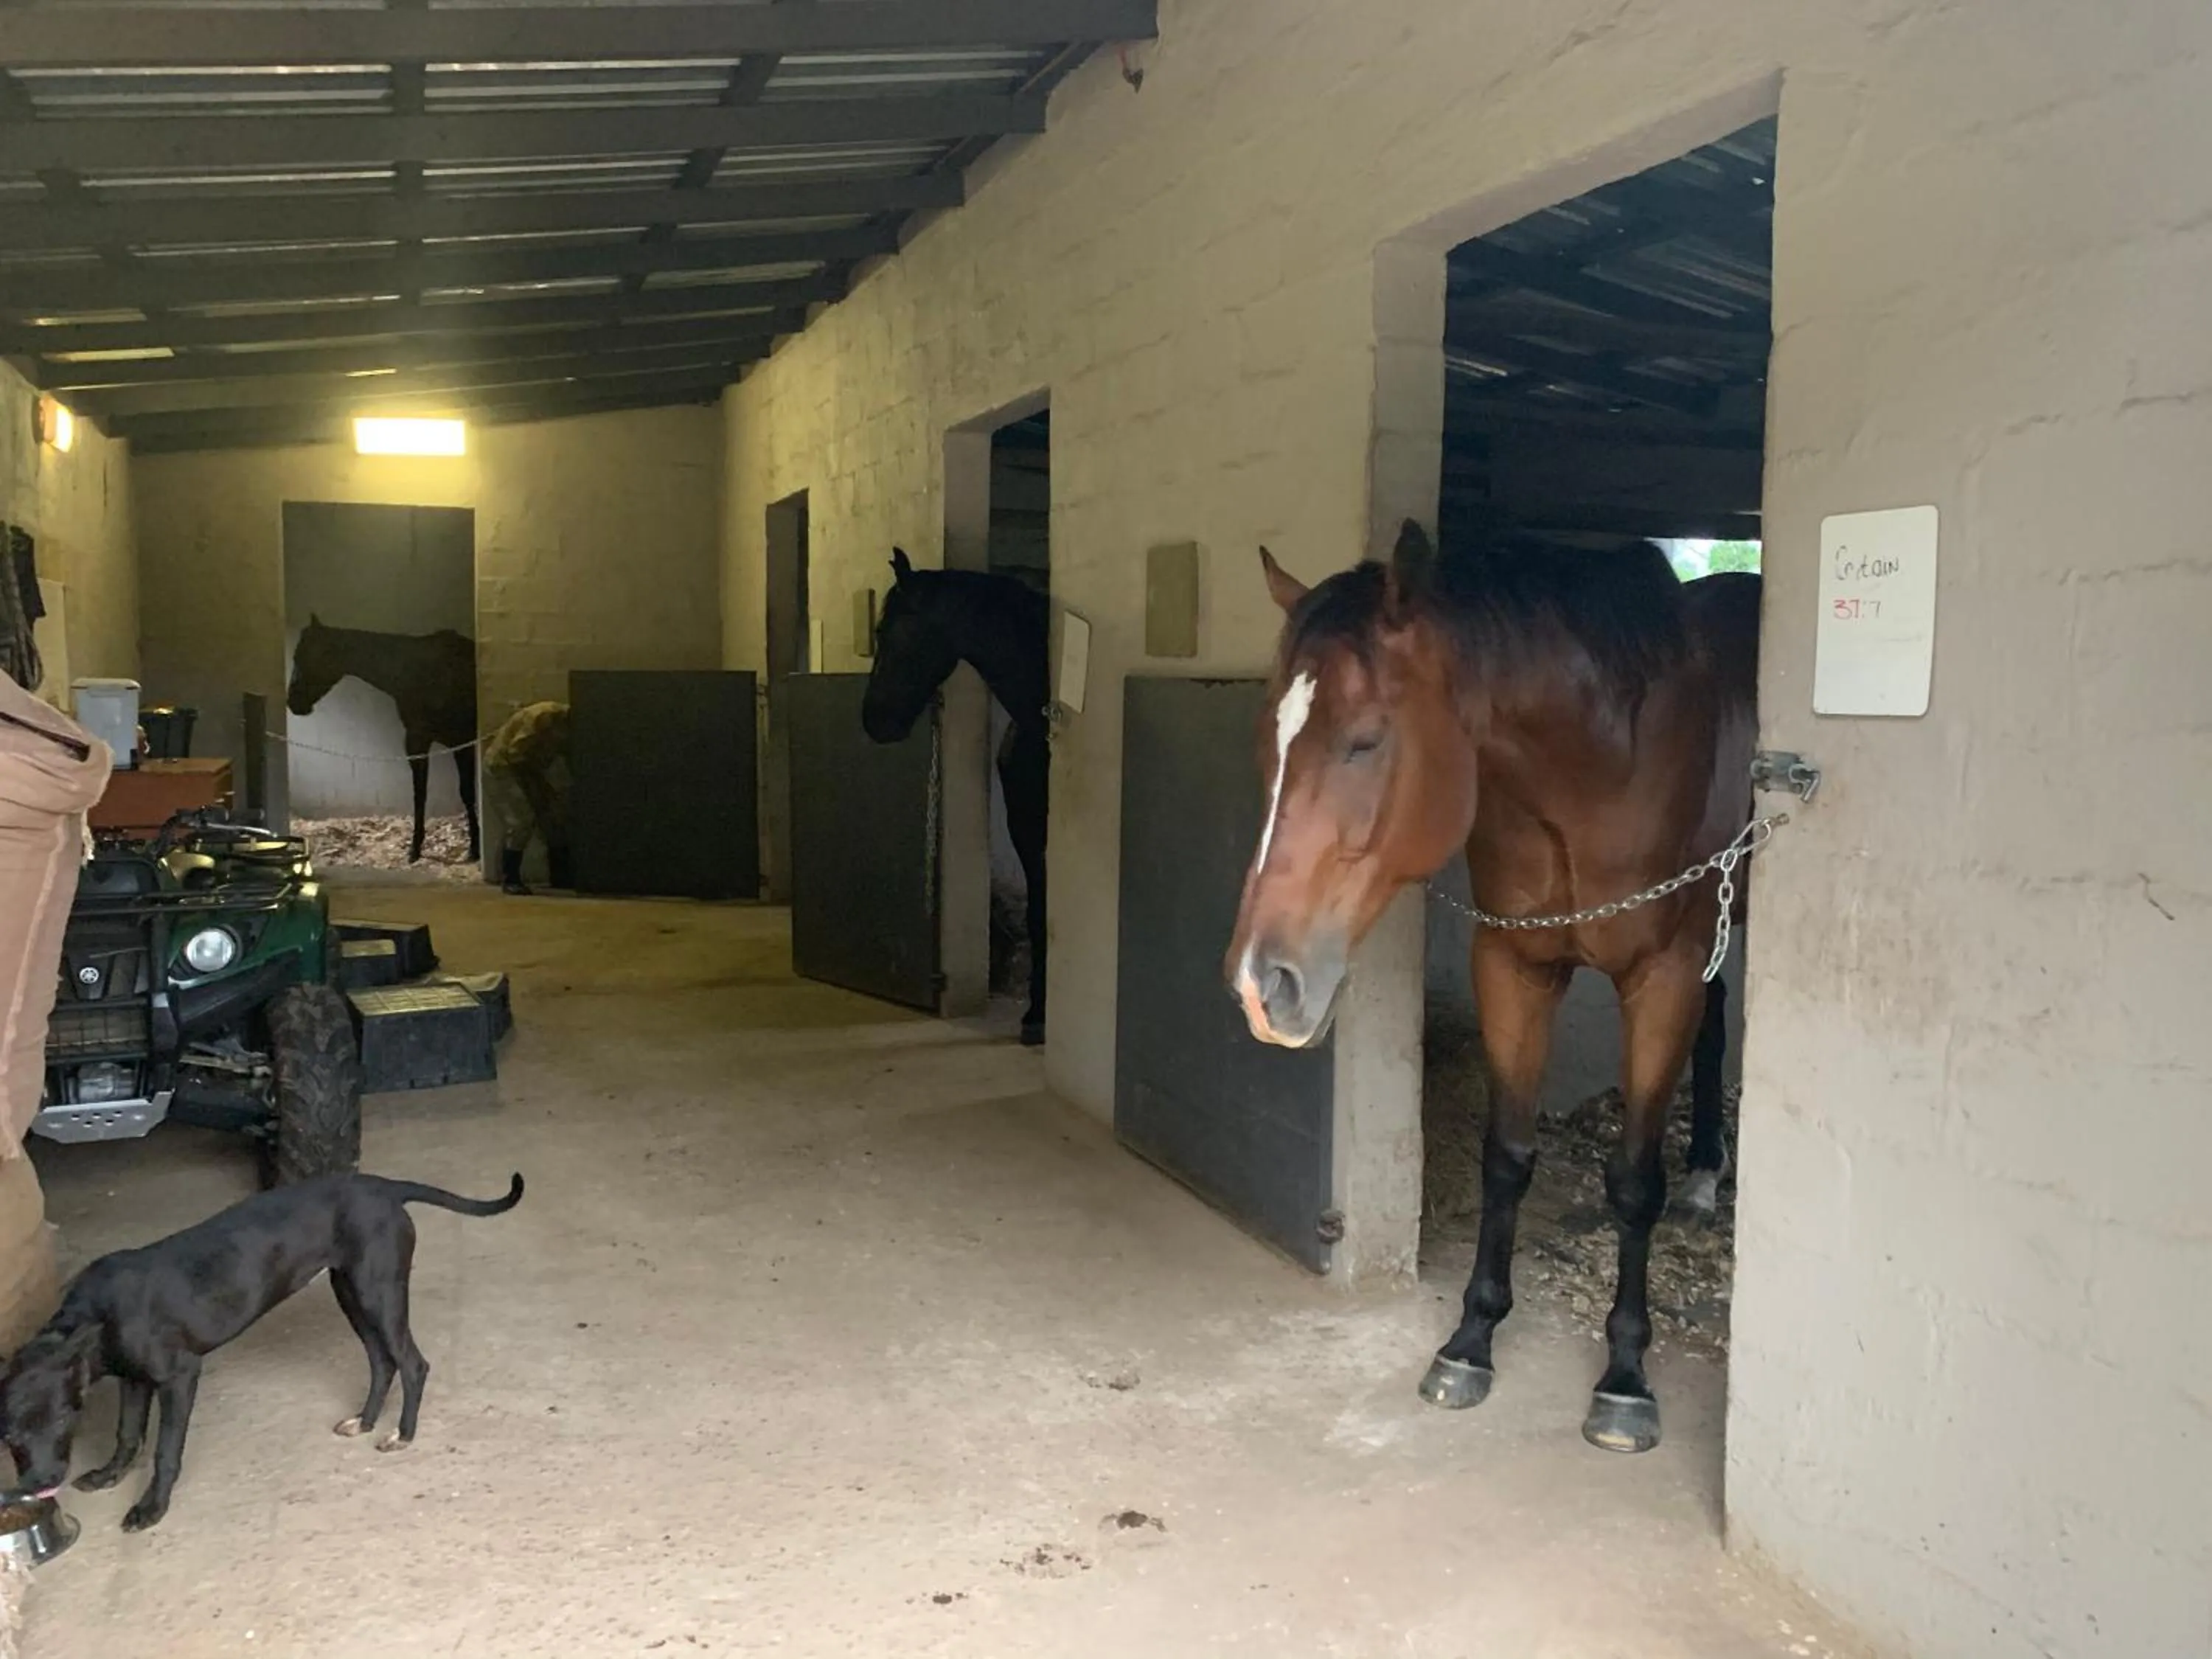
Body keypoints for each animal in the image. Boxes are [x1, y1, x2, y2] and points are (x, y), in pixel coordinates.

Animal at [286, 616, 481, 866]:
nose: (293, 702)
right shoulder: (417, 741)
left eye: (305, 656)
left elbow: (467, 792)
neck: (422, 674)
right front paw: (415, 849)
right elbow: (420, 794)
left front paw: (475, 849)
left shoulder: (461, 743)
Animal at [1224, 519, 1760, 1456]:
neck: (1604, 769)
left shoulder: (1659, 980)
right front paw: (1471, 1339)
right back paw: (1704, 1175)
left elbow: (1632, 1181)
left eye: (1366, 740)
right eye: (1269, 741)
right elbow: (1506, 1157)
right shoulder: (1511, 966)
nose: (1263, 984)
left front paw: (1625, 1376)